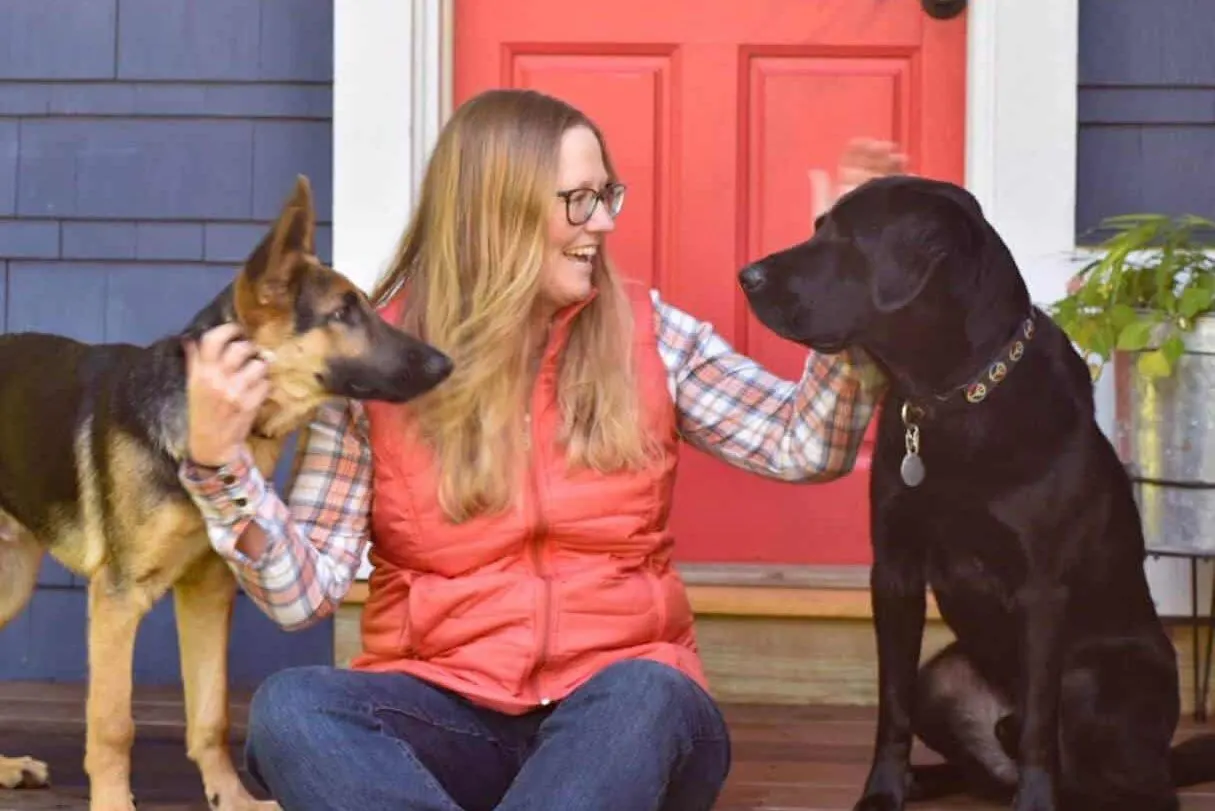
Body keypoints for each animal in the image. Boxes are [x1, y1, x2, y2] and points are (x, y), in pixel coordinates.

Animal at [0, 175, 451, 807]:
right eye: (342, 312)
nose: (445, 363)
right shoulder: (117, 600)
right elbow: (113, 724)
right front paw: (114, 801)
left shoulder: (208, 590)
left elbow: (211, 716)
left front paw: (231, 799)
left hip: (11, 579)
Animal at [733, 177, 1215, 811]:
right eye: (818, 229)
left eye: (847, 239)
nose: (747, 276)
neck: (951, 398)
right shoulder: (894, 571)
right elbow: (892, 705)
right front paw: (883, 792)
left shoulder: (1042, 588)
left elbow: (1038, 724)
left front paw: (1034, 805)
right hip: (943, 677)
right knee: (970, 757)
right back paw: (930, 777)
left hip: (1100, 680)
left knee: (1134, 782)